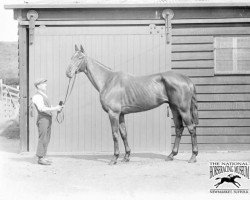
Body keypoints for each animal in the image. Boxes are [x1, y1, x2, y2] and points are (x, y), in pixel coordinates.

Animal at [66, 45, 199, 164]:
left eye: (80, 58)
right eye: (71, 57)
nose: (68, 73)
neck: (108, 81)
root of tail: (187, 80)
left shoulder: (113, 113)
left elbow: (115, 134)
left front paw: (114, 158)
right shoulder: (120, 114)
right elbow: (124, 134)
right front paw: (126, 157)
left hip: (183, 109)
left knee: (191, 128)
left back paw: (193, 157)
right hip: (174, 108)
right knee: (179, 128)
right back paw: (171, 155)